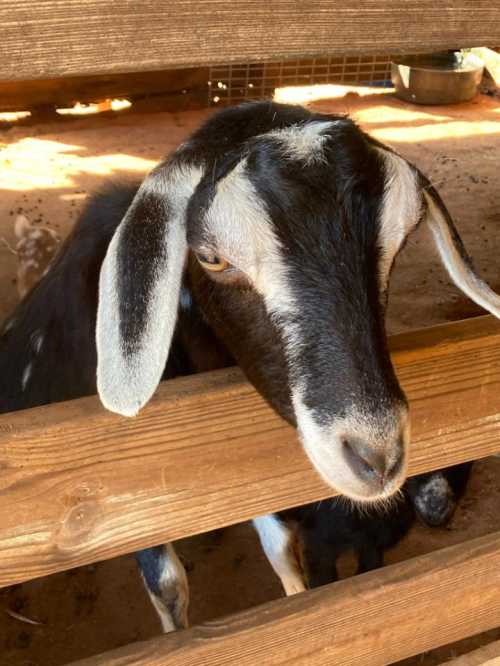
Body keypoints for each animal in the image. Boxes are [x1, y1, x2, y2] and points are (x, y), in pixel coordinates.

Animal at [1, 101, 498, 632]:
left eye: (400, 242)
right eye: (210, 257)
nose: (375, 457)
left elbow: (280, 544)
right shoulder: (118, 490)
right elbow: (167, 584)